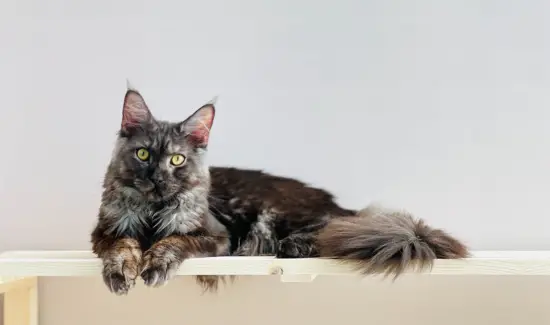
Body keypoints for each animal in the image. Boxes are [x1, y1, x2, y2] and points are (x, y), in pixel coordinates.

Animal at [90, 87, 470, 294]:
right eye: (143, 154)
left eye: (177, 159)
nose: (157, 178)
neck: (153, 212)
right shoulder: (106, 231)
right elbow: (122, 246)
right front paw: (120, 272)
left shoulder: (217, 236)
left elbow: (173, 241)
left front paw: (155, 265)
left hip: (278, 217)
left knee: (333, 234)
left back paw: (296, 246)